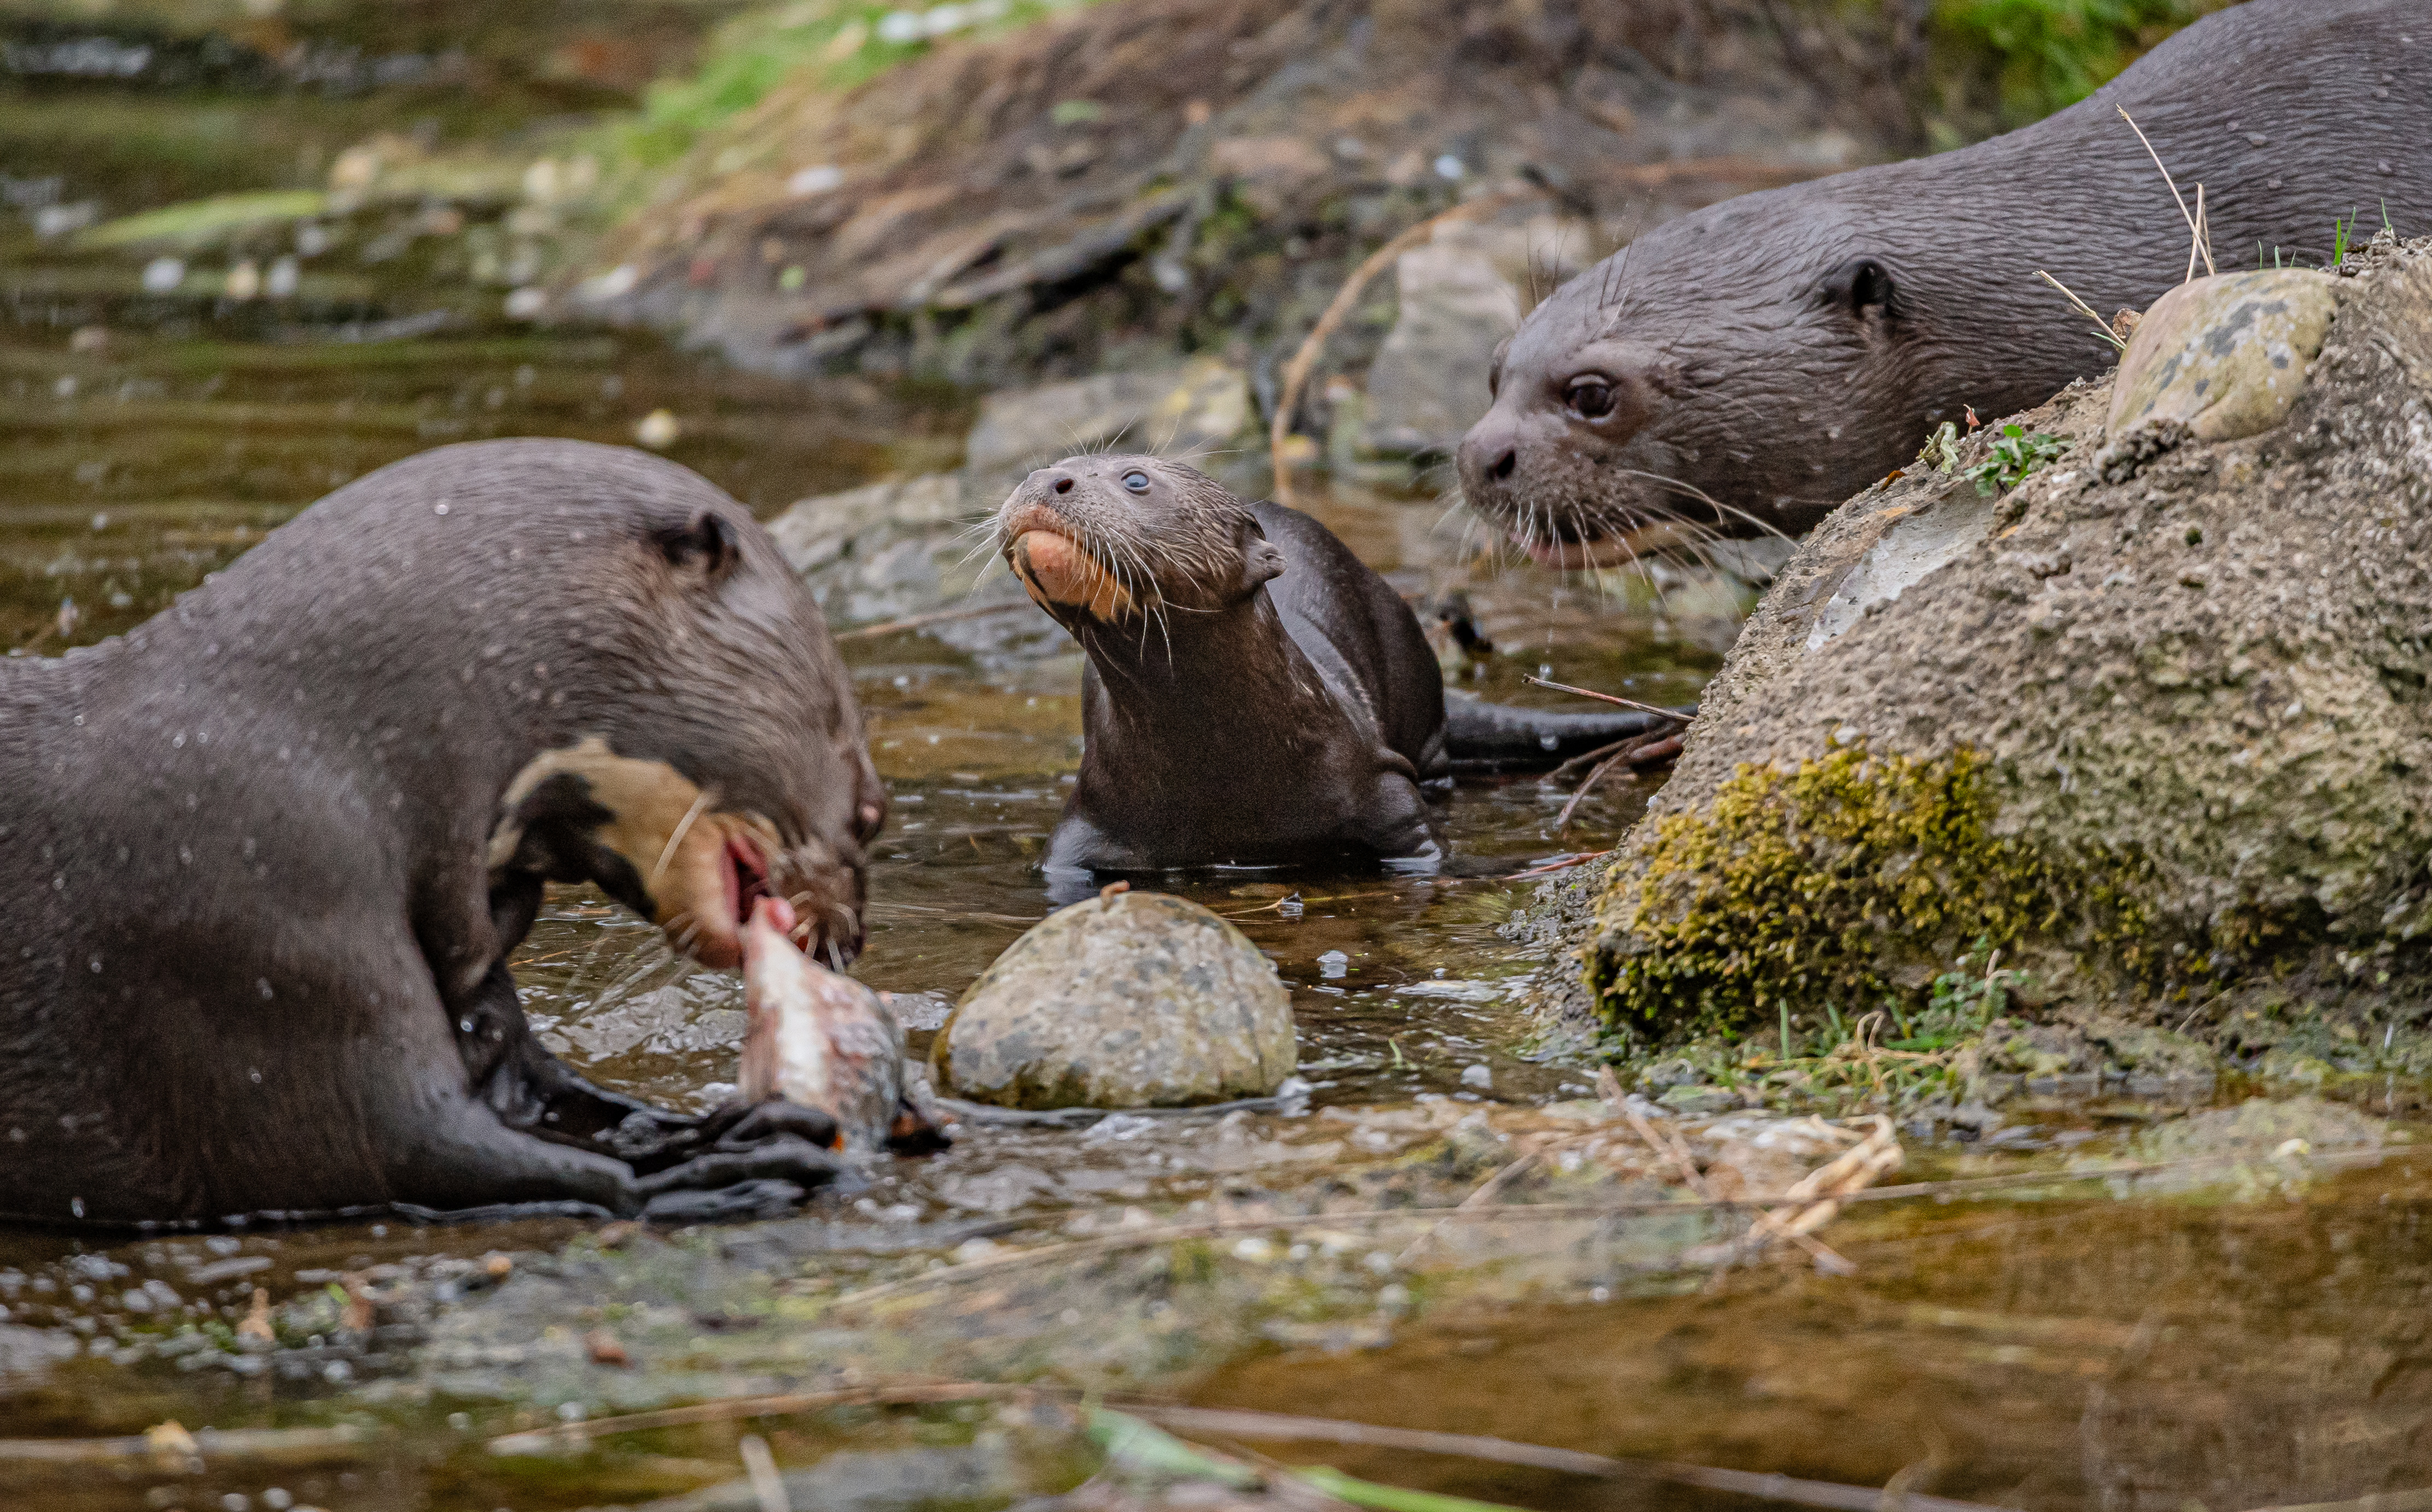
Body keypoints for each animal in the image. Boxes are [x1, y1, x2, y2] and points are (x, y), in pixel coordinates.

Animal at [0, 440, 888, 1226]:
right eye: (869, 806)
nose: (854, 936)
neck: (324, 748)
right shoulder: (251, 932)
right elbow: (419, 1148)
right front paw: (728, 1162)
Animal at [992, 455, 1673, 892]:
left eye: (1136, 479)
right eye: (1042, 466)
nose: (1044, 479)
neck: (1219, 771)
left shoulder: (1378, 782)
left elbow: (1428, 851)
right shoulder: (1089, 816)